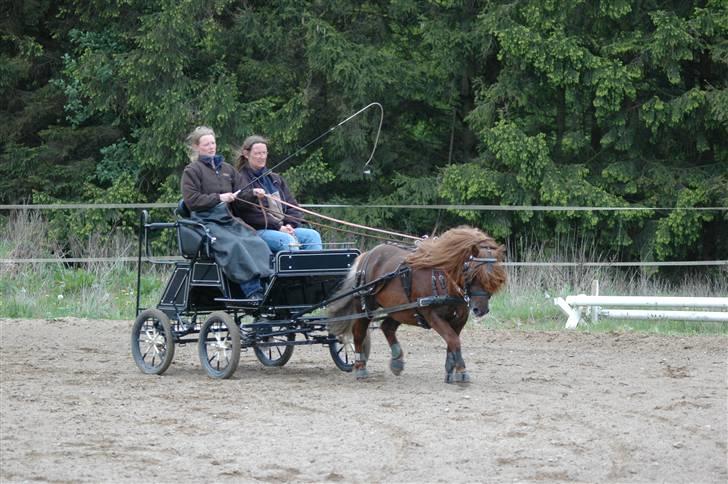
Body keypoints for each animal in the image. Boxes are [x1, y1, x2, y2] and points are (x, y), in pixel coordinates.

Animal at [328, 226, 506, 382]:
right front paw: (461, 371)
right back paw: (360, 367)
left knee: (387, 327)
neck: (442, 280)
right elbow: (453, 340)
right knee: (358, 333)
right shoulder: (432, 316)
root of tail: (366, 256)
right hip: (366, 307)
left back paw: (397, 361)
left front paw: (451, 369)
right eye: (472, 272)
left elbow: (452, 342)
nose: (480, 309)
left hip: (401, 309)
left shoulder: (460, 319)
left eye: (495, 278)